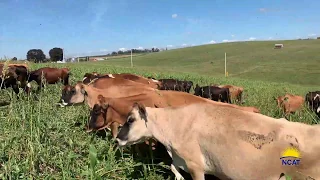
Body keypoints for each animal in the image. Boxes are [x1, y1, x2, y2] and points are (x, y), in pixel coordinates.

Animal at [116, 102, 320, 179]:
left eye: (130, 119)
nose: (117, 139)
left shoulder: (195, 164)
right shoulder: (183, 159)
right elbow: (172, 166)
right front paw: (179, 177)